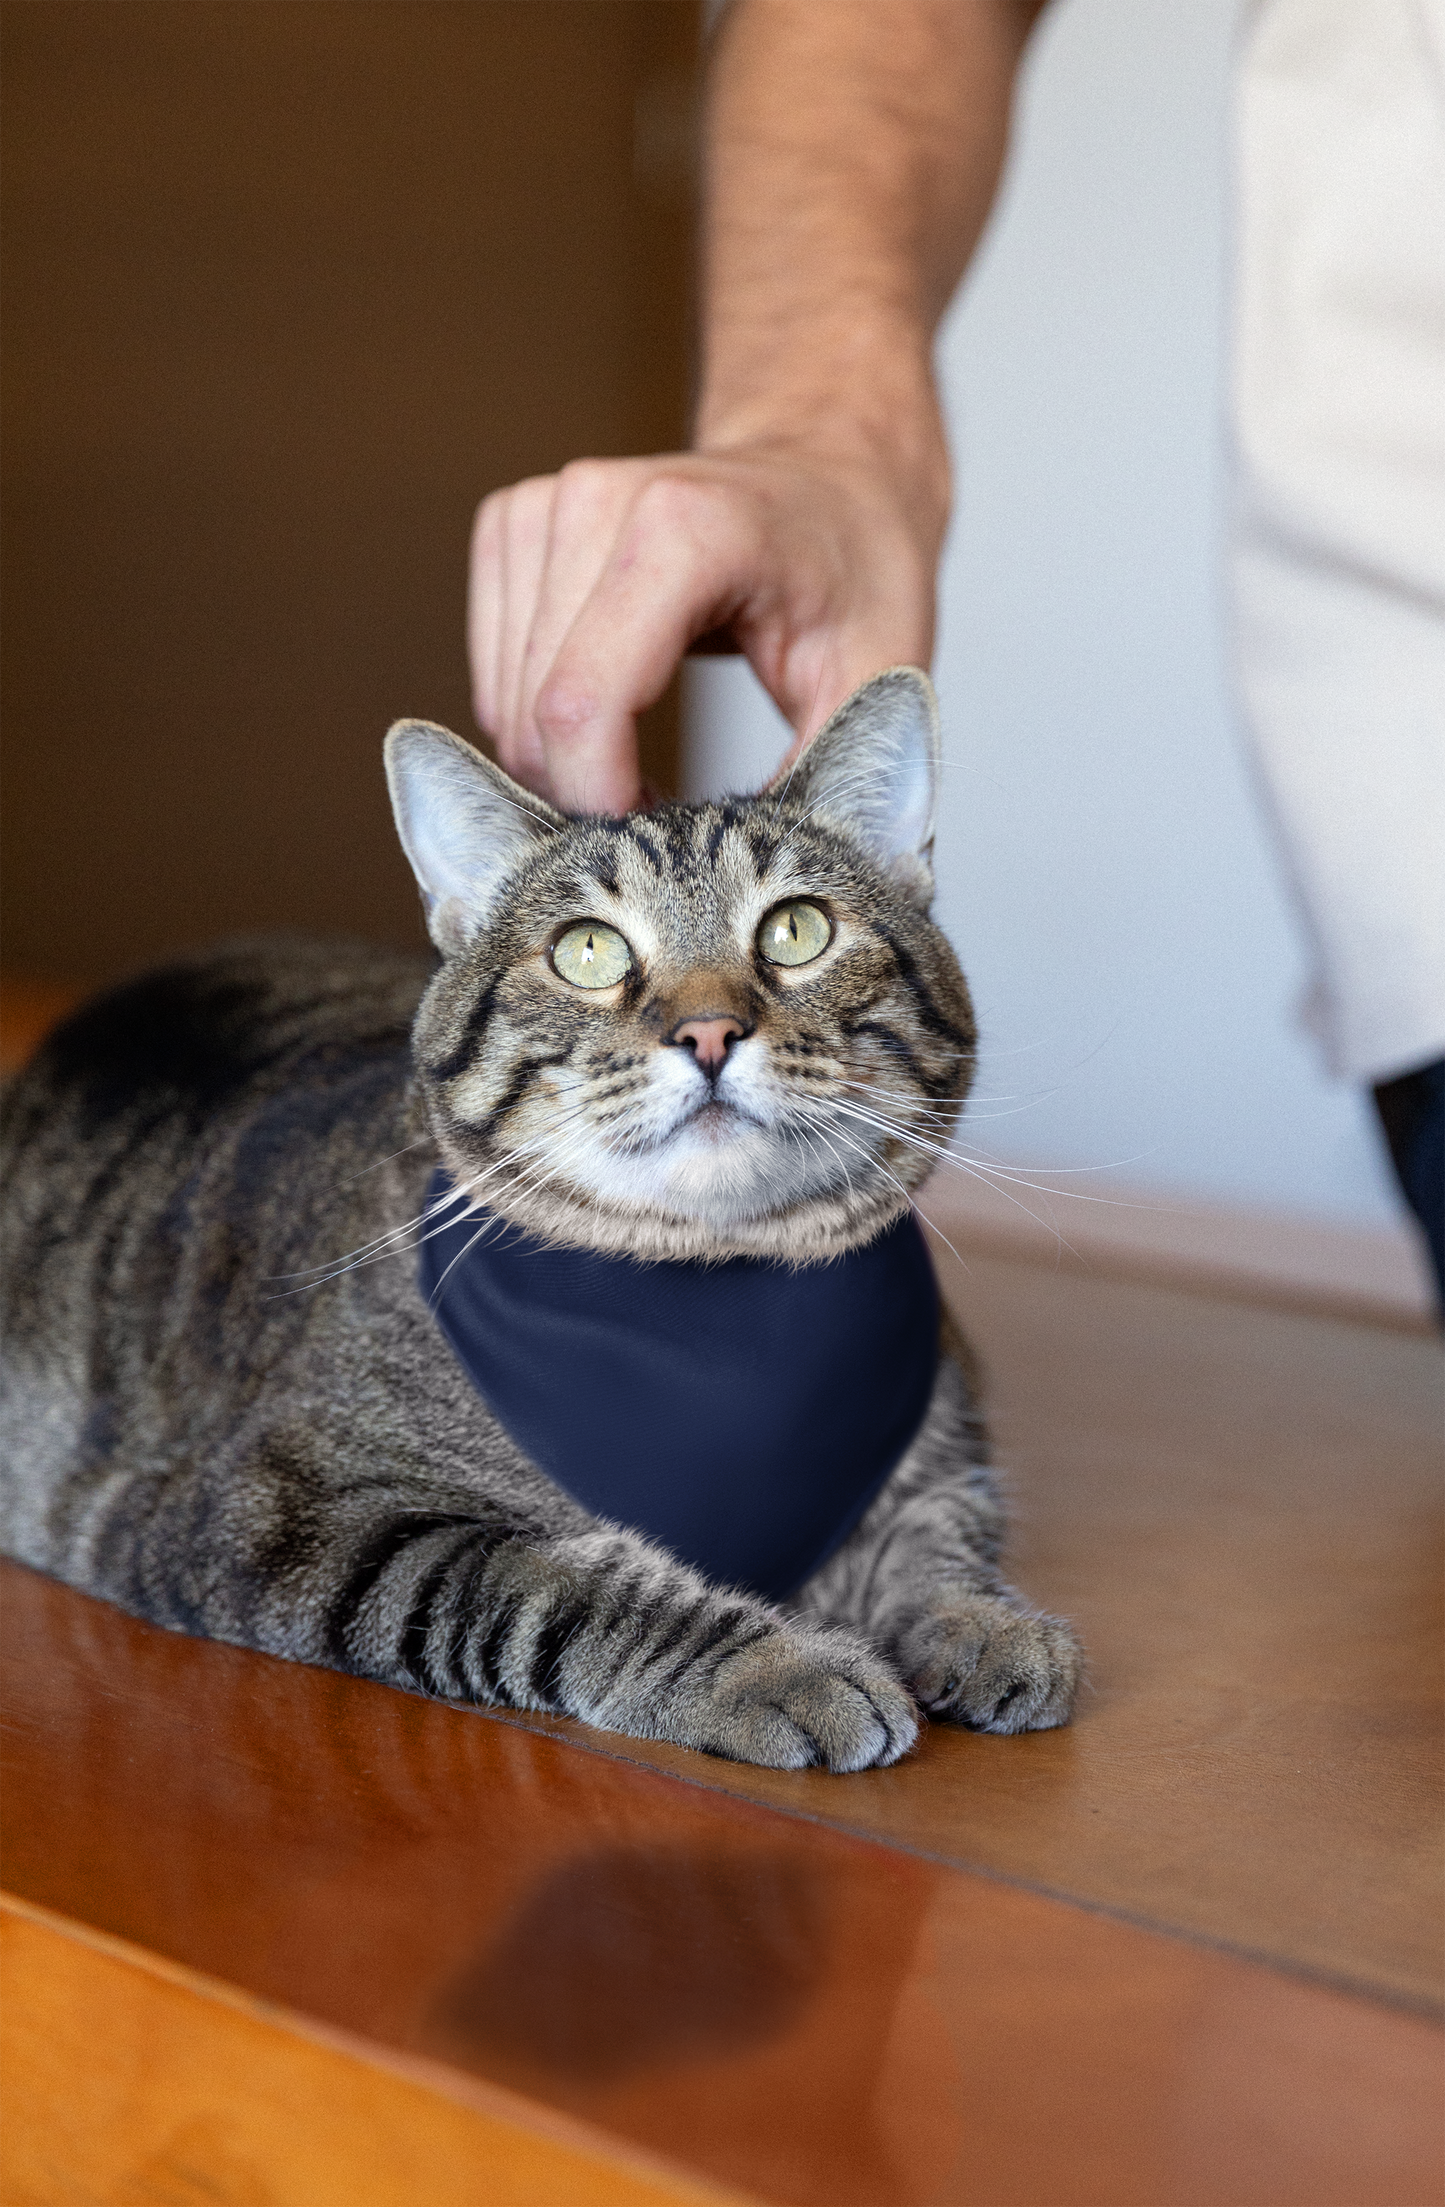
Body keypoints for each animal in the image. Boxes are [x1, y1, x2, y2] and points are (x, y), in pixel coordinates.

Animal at [0, 662, 1085, 1765]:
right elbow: (568, 1581)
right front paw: (781, 1664)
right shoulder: (289, 1514)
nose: (707, 1029)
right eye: (588, 951)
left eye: (796, 929)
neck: (718, 1306)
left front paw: (982, 1621)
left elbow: (937, 1532)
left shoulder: (941, 1445)